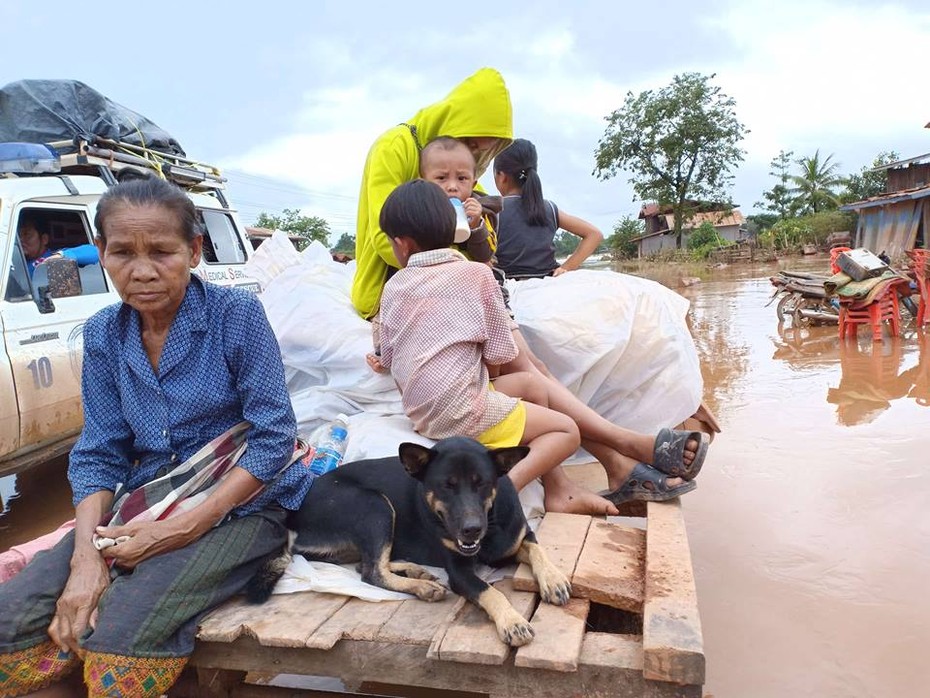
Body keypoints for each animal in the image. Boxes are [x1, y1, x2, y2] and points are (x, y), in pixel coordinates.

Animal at [246, 438, 568, 644]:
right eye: (446, 486)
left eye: (483, 484)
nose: (471, 530)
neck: (491, 523)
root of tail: (293, 515)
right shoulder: (459, 572)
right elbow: (490, 591)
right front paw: (512, 621)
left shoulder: (520, 537)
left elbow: (538, 550)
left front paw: (554, 580)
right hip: (373, 505)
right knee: (371, 572)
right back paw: (422, 586)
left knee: (367, 563)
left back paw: (415, 572)